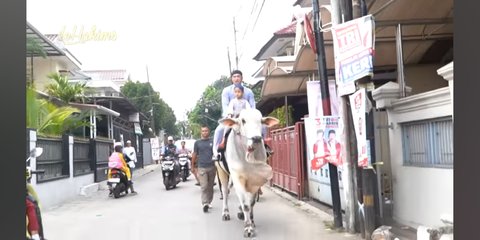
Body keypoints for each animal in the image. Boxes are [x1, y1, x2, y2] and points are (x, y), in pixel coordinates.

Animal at [216, 109, 280, 238]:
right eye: (243, 120)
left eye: (260, 120)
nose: (256, 138)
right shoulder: (237, 177)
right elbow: (246, 204)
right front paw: (248, 228)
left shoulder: (256, 179)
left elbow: (251, 202)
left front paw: (252, 221)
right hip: (221, 171)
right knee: (225, 192)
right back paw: (225, 213)